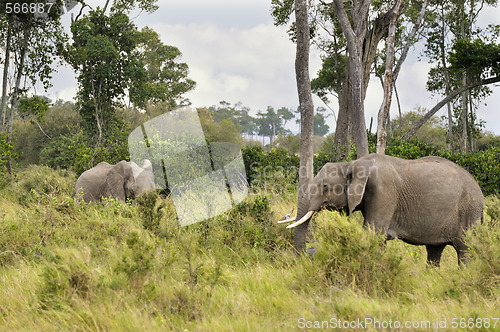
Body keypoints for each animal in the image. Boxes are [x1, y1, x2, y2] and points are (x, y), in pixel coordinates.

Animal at [280, 154, 482, 268]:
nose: (304, 257)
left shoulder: (384, 192)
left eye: (324, 186)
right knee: (434, 251)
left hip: (469, 211)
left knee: (464, 248)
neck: (353, 163)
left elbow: (373, 233)